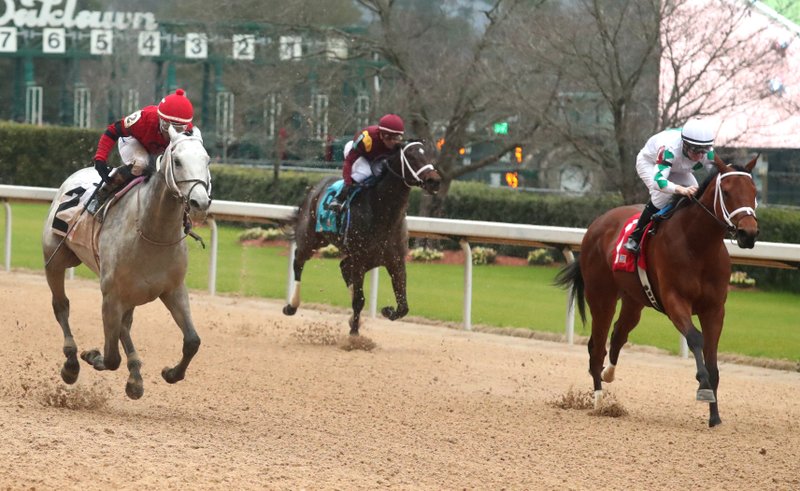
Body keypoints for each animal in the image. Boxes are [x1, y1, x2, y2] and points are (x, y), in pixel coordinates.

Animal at [42, 127, 211, 400]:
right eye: (177, 161)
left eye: (207, 160)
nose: (200, 203)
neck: (154, 232)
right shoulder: (111, 295)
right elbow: (111, 358)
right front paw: (92, 356)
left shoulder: (173, 289)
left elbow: (192, 341)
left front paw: (170, 373)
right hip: (55, 259)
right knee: (61, 306)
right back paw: (72, 363)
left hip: (132, 292)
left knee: (124, 324)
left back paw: (135, 376)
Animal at [282, 140, 444, 336]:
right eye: (411, 156)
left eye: (431, 155)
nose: (434, 181)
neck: (383, 213)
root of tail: (315, 188)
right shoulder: (360, 259)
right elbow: (359, 300)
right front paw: (354, 335)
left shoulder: (395, 260)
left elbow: (403, 306)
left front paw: (386, 311)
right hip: (311, 239)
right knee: (298, 261)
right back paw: (291, 306)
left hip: (364, 258)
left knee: (344, 267)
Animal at [556, 155, 756, 426]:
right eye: (726, 192)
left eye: (754, 191)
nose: (749, 234)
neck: (698, 245)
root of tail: (597, 223)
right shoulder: (674, 300)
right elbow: (695, 338)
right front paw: (703, 386)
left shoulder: (714, 309)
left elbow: (712, 358)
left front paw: (714, 416)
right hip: (601, 296)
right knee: (597, 346)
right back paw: (599, 400)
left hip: (633, 301)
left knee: (618, 335)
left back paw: (608, 374)